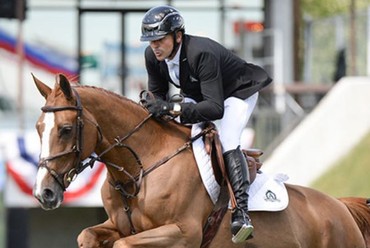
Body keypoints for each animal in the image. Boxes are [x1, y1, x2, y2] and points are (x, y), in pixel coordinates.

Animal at [32, 74, 370, 248]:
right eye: (38, 128)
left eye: (65, 129)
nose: (43, 193)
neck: (140, 169)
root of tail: (342, 208)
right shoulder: (118, 226)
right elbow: (87, 235)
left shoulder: (183, 233)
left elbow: (122, 245)